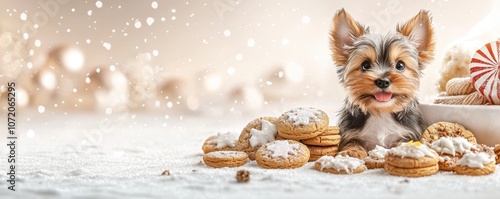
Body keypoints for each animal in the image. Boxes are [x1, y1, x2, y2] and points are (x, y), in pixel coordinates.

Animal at [332, 9, 434, 159]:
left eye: (400, 65)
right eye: (365, 65)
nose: (383, 81)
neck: (381, 112)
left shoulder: (409, 133)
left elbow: (403, 143)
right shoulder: (349, 131)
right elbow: (352, 141)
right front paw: (351, 151)